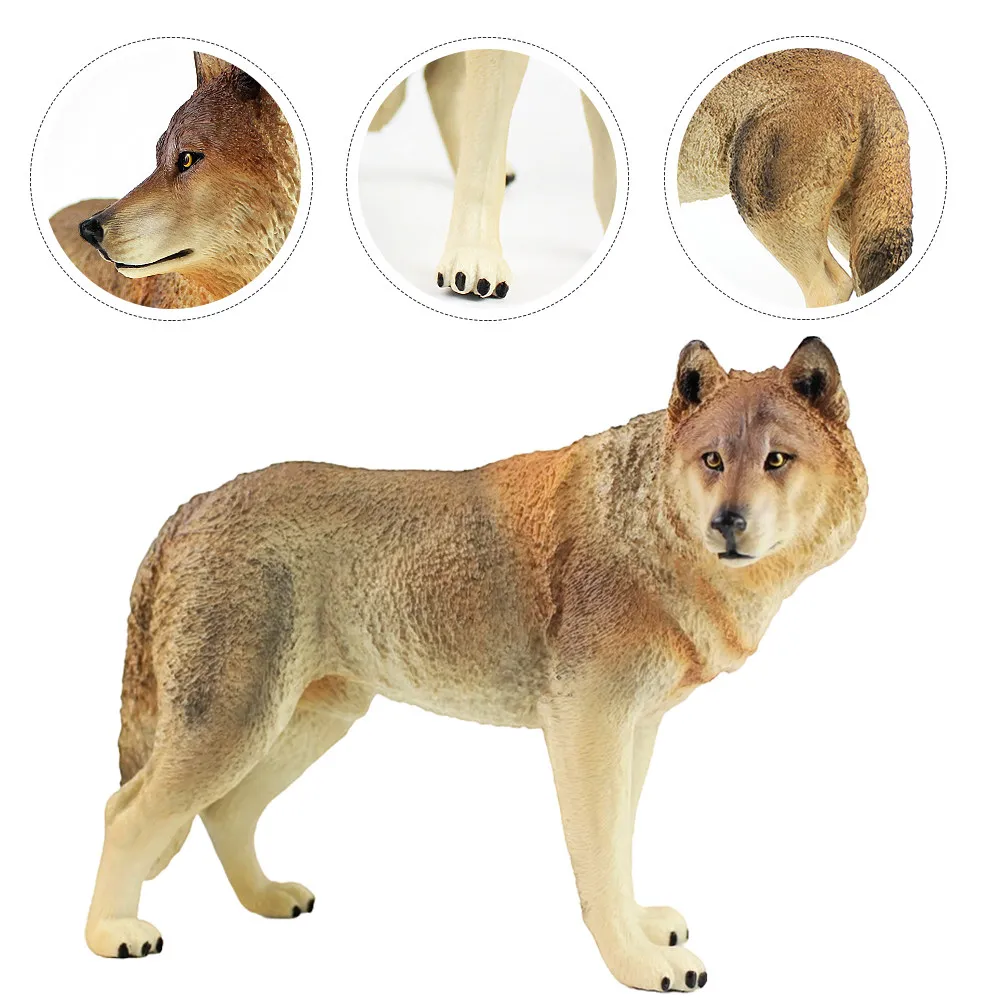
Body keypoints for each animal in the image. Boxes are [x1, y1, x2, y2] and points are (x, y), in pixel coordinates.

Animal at [86, 337, 866, 992]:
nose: (727, 524)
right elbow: (599, 863)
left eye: (776, 460)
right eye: (713, 461)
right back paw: (111, 935)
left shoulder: (635, 730)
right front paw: (638, 965)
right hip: (236, 724)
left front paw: (644, 929)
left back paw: (267, 899)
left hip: (309, 720)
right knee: (125, 813)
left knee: (223, 811)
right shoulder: (586, 727)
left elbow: (621, 845)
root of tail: (192, 506)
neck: (648, 524)